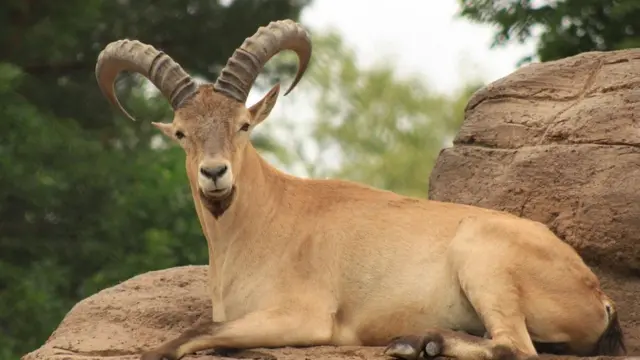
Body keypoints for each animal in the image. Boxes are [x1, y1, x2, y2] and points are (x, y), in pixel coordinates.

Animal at [94, 19, 624, 360]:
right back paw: (421, 341)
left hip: (484, 260)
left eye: (243, 125)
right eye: (182, 133)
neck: (261, 224)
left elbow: (192, 333)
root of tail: (596, 294)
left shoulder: (305, 318)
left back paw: (418, 343)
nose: (215, 174)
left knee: (516, 346)